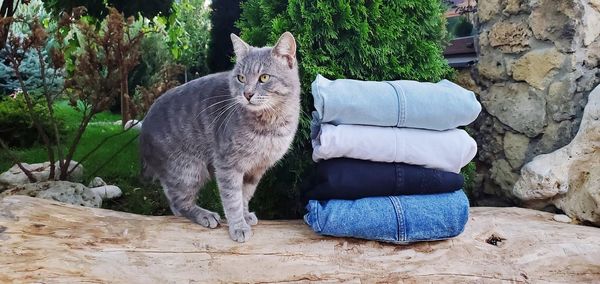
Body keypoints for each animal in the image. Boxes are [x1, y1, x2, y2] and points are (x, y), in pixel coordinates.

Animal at [139, 32, 300, 242]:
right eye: (241, 77)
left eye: (264, 77)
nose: (247, 94)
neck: (270, 124)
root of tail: (142, 128)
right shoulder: (227, 164)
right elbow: (232, 198)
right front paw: (238, 226)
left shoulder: (255, 169)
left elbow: (245, 194)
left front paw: (245, 215)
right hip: (187, 169)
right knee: (179, 202)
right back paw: (204, 215)